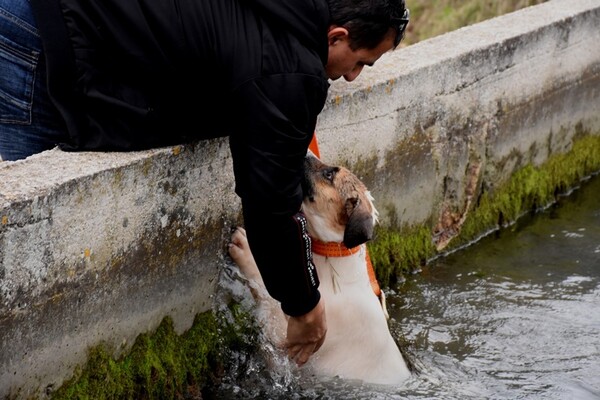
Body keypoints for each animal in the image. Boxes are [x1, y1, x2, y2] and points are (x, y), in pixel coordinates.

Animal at [227, 152, 410, 384]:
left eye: (329, 174)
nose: (304, 152)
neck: (332, 256)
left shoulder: (286, 339)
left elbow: (266, 291)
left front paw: (245, 250)